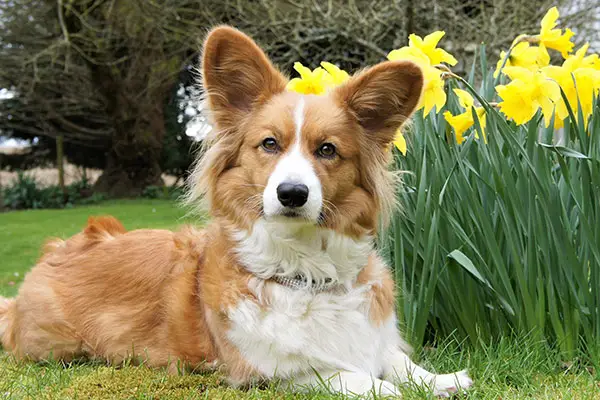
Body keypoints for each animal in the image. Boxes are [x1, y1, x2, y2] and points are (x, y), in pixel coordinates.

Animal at [0, 25, 474, 396]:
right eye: (269, 143)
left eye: (327, 150)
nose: (292, 193)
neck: (305, 272)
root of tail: (52, 253)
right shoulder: (272, 370)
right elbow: (342, 373)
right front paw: (384, 386)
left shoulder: (372, 335)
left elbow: (396, 359)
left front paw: (439, 379)